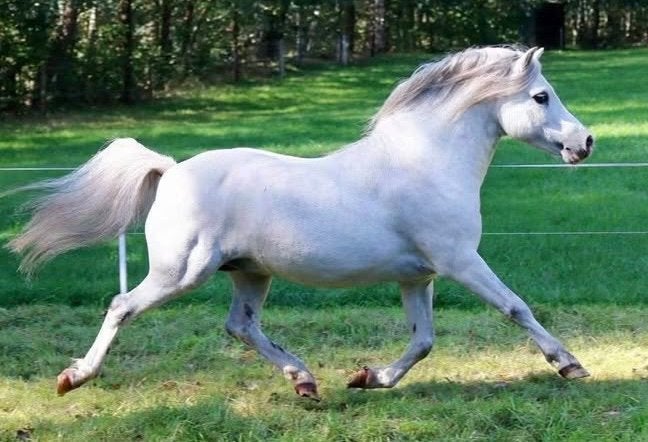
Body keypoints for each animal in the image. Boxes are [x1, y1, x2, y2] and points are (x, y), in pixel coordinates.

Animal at [9, 46, 594, 400]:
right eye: (541, 96)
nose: (585, 143)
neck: (424, 161)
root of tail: (171, 171)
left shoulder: (418, 276)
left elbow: (423, 340)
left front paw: (369, 377)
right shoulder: (459, 262)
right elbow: (515, 307)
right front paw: (570, 365)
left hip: (250, 272)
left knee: (240, 325)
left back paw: (305, 381)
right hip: (182, 272)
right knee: (122, 306)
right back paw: (74, 376)